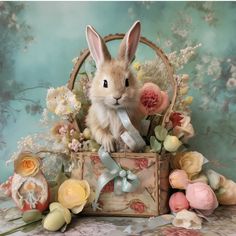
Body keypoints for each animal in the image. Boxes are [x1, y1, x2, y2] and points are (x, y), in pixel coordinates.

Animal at [85, 21, 142, 152]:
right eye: (105, 83)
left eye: (127, 82)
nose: (117, 97)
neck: (115, 110)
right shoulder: (95, 123)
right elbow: (101, 133)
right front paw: (109, 146)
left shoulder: (134, 123)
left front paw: (127, 147)